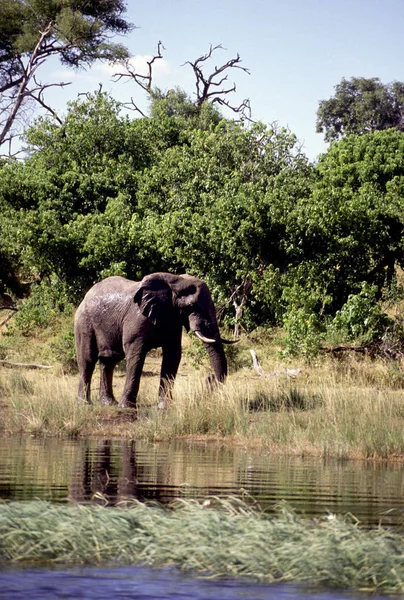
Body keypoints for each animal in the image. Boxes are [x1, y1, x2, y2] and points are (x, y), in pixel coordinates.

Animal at [74, 272, 229, 408]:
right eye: (191, 307)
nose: (210, 378)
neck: (175, 281)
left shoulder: (173, 319)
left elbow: (173, 355)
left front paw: (165, 406)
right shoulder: (137, 318)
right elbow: (136, 355)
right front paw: (127, 407)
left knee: (109, 361)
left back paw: (108, 403)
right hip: (83, 322)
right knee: (87, 360)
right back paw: (84, 404)